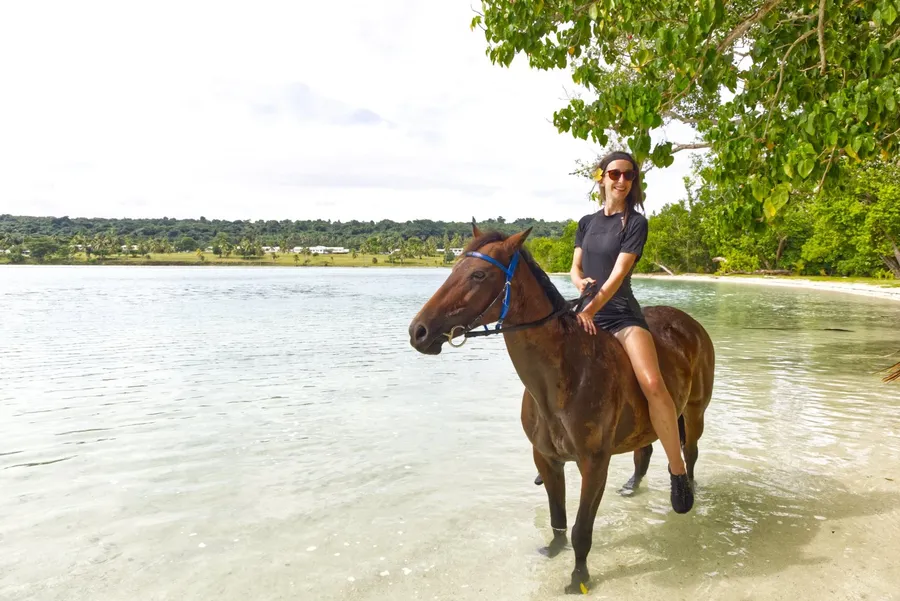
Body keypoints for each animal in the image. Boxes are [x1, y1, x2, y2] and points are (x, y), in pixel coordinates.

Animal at [407, 223, 716, 594]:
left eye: (479, 274)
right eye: (455, 268)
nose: (418, 331)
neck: (565, 376)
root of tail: (688, 323)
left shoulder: (594, 464)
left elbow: (582, 529)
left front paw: (579, 577)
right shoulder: (546, 458)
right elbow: (558, 518)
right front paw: (553, 550)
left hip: (694, 412)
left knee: (688, 453)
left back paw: (686, 494)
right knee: (644, 450)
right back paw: (632, 485)